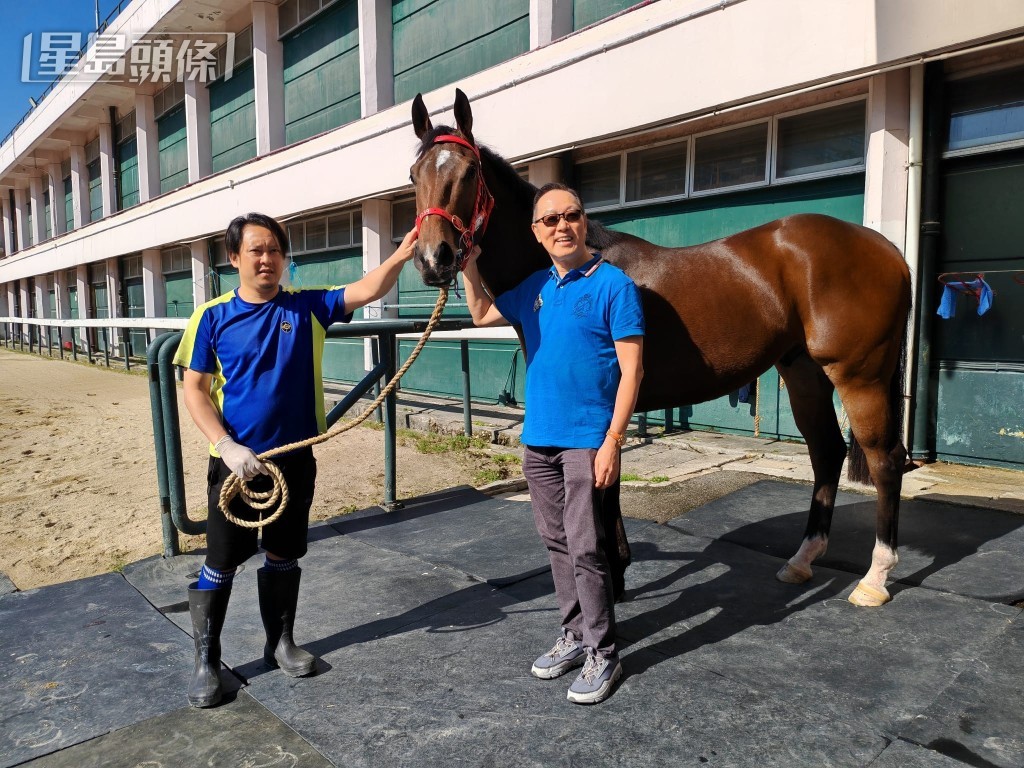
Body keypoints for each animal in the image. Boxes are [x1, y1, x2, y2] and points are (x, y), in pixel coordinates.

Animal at [407, 88, 913, 606]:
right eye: (413, 175)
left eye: (470, 172)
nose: (433, 259)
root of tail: (884, 247)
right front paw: (617, 576)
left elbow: (602, 491)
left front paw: (611, 581)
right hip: (804, 372)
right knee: (826, 452)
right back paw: (802, 560)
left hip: (859, 375)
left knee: (885, 460)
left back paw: (875, 578)